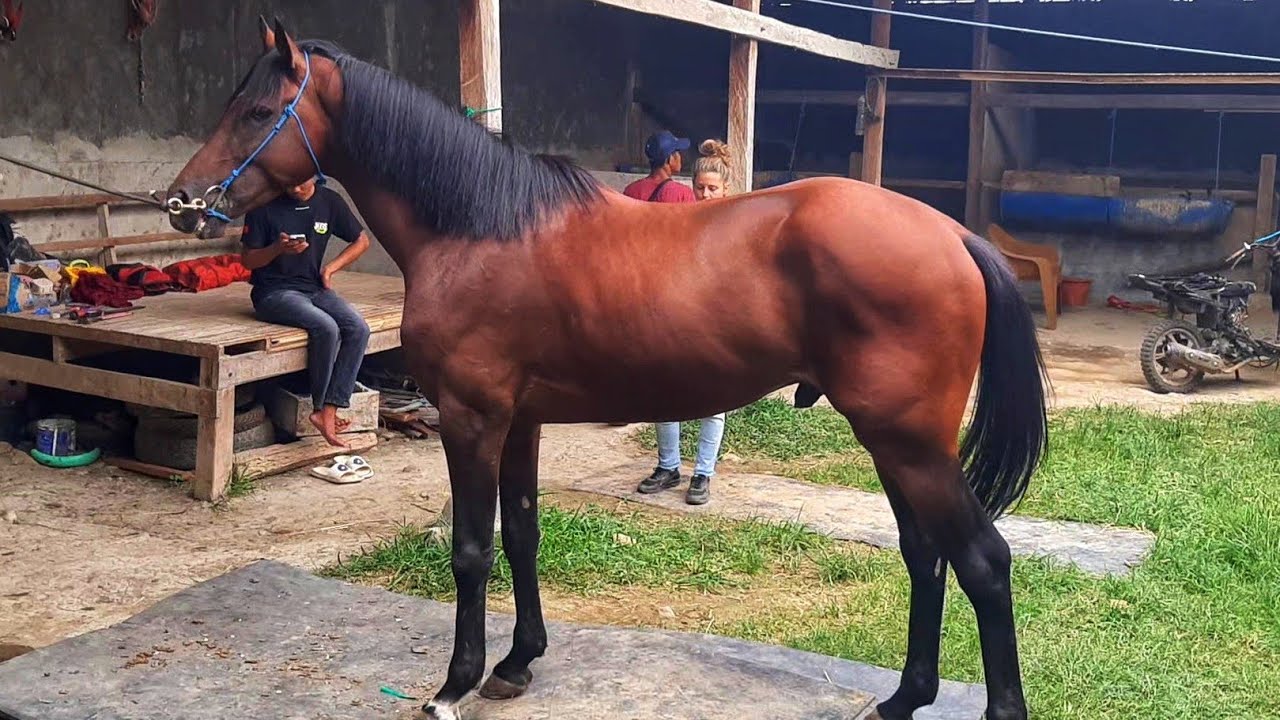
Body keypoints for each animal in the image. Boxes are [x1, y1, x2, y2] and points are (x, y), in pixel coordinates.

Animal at [166, 19, 1049, 720]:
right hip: (891, 441)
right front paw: (517, 663)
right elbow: (523, 533)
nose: (182, 203)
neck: (482, 227)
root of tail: (951, 234)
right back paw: (903, 698)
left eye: (256, 112)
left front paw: (454, 684)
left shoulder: (472, 418)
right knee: (924, 554)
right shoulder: (519, 421)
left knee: (983, 560)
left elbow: (472, 549)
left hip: (908, 442)